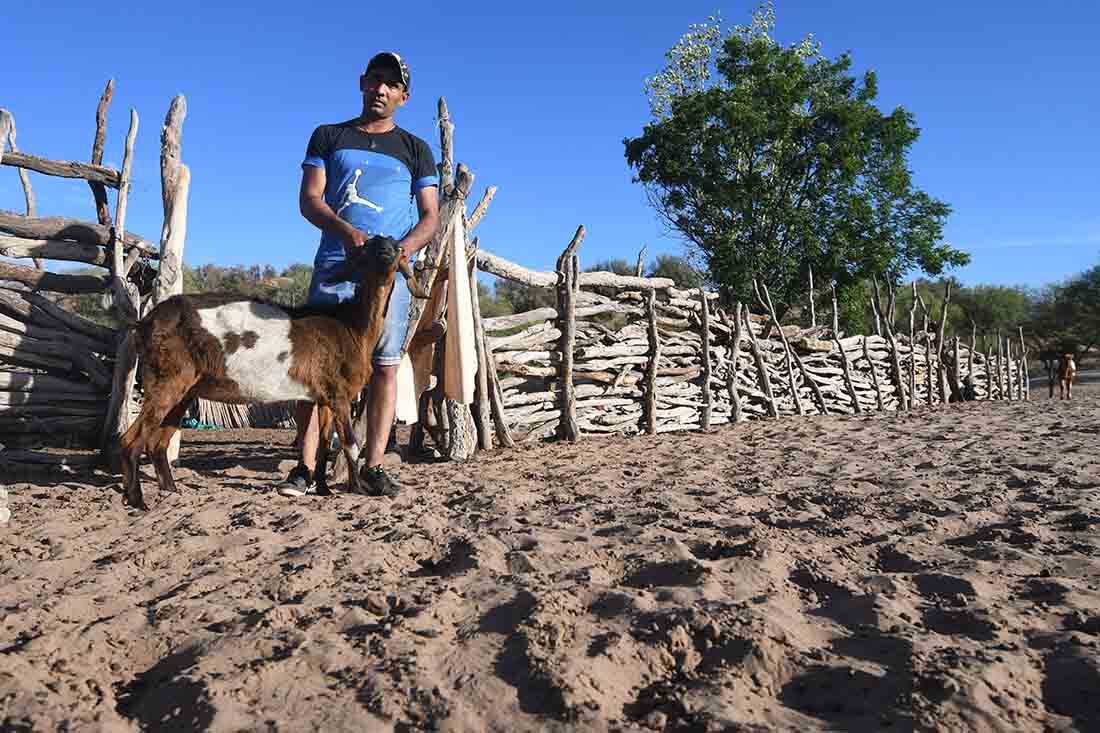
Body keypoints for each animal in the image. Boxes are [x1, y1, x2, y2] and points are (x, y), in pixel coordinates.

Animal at [120, 239, 424, 508]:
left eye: (398, 246)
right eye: (370, 245)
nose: (386, 253)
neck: (351, 327)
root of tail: (145, 322)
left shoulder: (323, 397)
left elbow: (325, 444)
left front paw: (324, 490)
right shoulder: (339, 395)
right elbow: (350, 444)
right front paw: (357, 489)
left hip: (184, 389)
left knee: (157, 443)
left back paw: (171, 492)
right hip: (166, 380)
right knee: (131, 440)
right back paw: (137, 501)